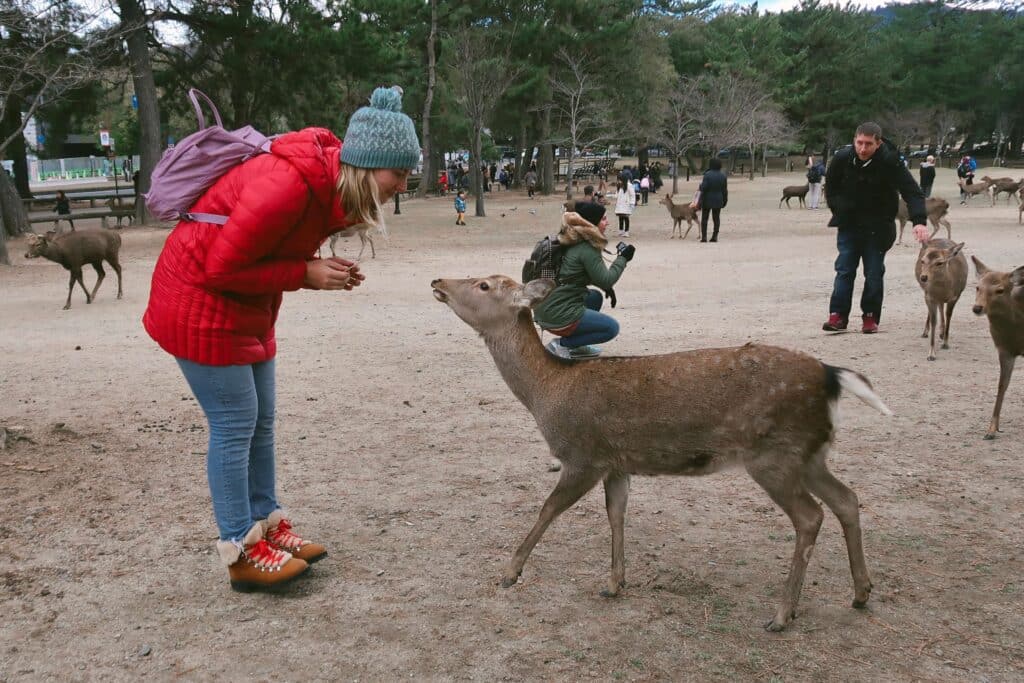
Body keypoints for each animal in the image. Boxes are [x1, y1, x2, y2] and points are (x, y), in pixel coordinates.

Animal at [431, 275, 892, 632]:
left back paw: (782, 615)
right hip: (810, 454)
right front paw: (614, 583)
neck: (546, 393)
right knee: (847, 499)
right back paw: (861, 592)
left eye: (484, 284)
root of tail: (832, 376)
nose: (438, 282)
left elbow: (548, 509)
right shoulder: (616, 463)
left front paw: (509, 573)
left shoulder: (582, 455)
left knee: (811, 516)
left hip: (774, 456)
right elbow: (616, 513)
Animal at [971, 256, 1024, 439]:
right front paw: (991, 430)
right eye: (977, 287)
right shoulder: (1004, 349)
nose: (977, 308)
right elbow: (1002, 385)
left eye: (1000, 290)